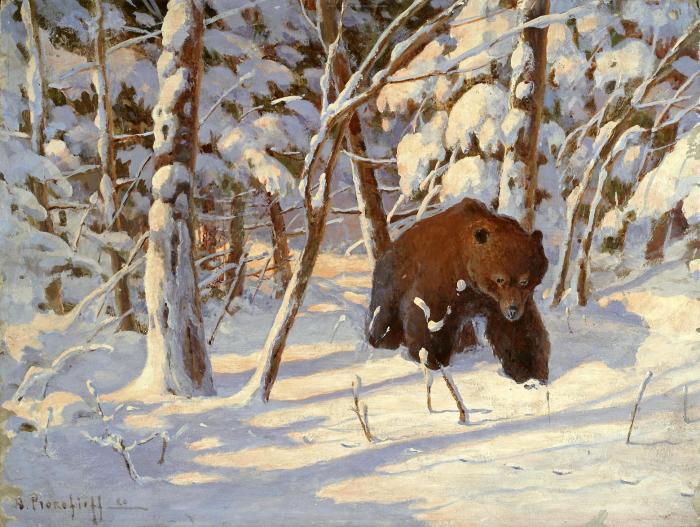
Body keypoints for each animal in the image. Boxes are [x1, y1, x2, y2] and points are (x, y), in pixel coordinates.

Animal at [366, 197, 550, 423]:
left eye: (525, 280)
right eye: (500, 279)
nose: (513, 311)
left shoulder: (498, 303)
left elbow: (519, 333)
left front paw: (530, 373)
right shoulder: (438, 283)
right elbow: (426, 323)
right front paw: (433, 358)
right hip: (390, 287)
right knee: (383, 323)